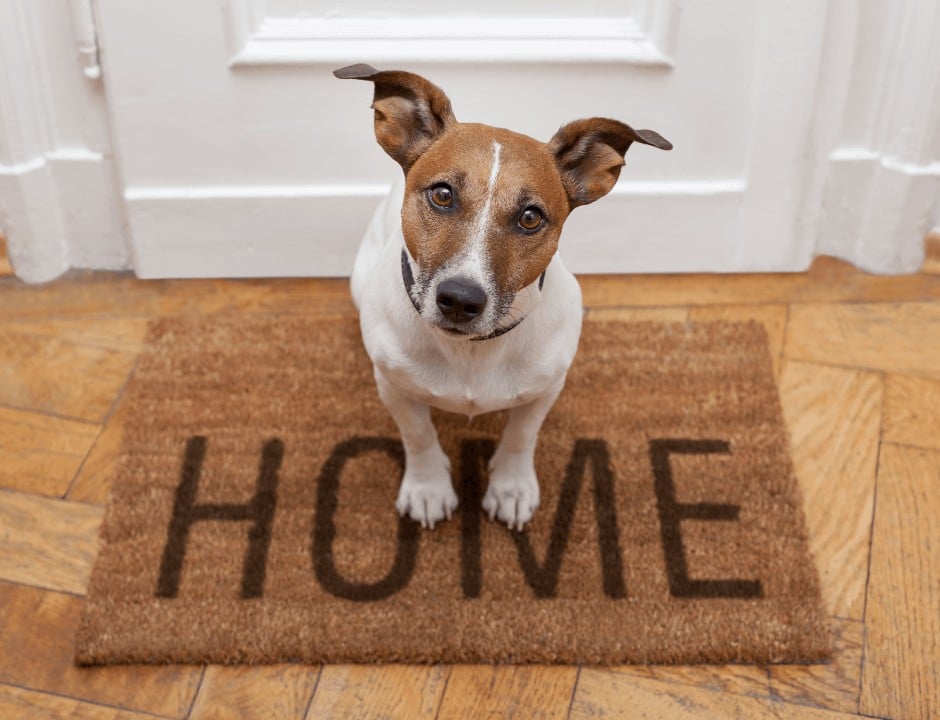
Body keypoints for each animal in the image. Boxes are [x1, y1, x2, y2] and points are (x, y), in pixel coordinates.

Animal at [334, 64, 672, 532]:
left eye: (531, 217)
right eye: (442, 194)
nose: (460, 299)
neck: (471, 352)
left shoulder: (545, 389)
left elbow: (520, 437)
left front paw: (511, 487)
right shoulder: (394, 386)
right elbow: (418, 435)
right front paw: (427, 487)